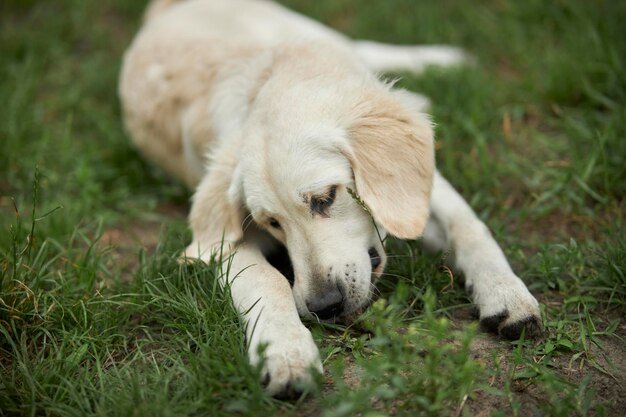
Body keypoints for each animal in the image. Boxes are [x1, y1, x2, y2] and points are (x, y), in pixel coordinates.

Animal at [119, 0, 540, 396]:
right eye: (271, 223)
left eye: (325, 197)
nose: (324, 307)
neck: (278, 77)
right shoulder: (228, 243)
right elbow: (267, 281)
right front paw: (285, 352)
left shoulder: (426, 182)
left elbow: (469, 227)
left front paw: (506, 293)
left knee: (364, 45)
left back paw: (442, 62)